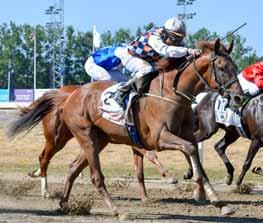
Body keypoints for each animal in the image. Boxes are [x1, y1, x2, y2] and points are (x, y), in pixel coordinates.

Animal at [7, 39, 244, 217]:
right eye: (222, 67)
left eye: (235, 67)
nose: (239, 97)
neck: (172, 93)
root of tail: (69, 95)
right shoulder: (158, 138)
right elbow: (190, 150)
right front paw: (199, 189)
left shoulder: (186, 135)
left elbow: (196, 158)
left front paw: (218, 202)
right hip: (77, 136)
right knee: (88, 174)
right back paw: (116, 210)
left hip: (98, 139)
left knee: (73, 167)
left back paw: (65, 204)